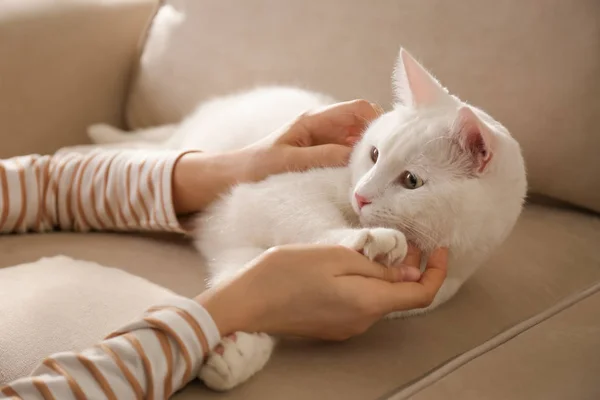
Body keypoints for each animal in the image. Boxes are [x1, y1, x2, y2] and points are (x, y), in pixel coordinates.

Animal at [88, 47, 524, 390]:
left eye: (411, 181)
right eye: (374, 154)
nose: (360, 194)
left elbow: (244, 281)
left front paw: (238, 349)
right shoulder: (271, 197)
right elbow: (311, 226)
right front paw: (370, 241)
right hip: (184, 139)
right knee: (151, 144)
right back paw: (97, 139)